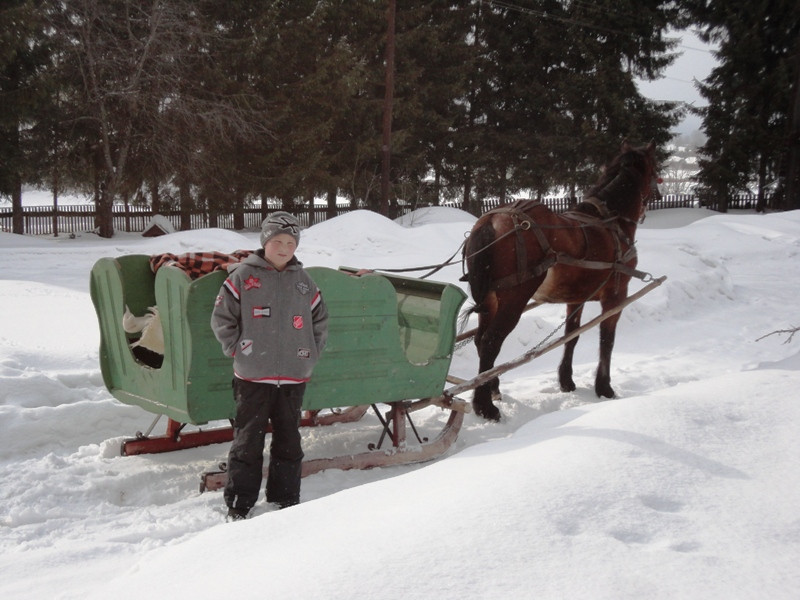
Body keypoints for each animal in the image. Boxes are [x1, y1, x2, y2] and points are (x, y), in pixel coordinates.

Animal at [462, 142, 656, 422]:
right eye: (655, 171)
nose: (657, 195)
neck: (611, 221)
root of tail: (490, 220)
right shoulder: (616, 296)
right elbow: (606, 340)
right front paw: (604, 387)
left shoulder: (576, 298)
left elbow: (571, 336)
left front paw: (566, 381)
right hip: (514, 299)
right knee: (490, 342)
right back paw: (484, 405)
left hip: (491, 299)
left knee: (480, 340)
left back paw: (492, 387)